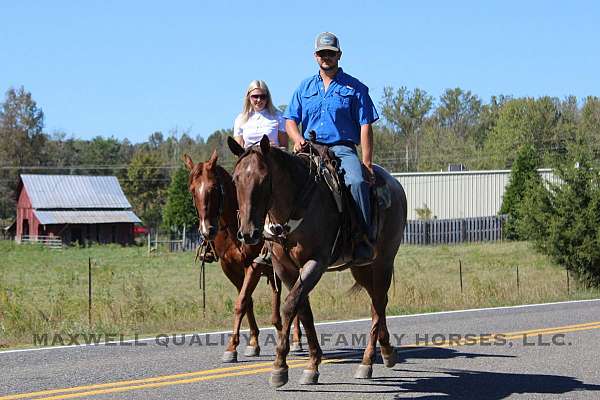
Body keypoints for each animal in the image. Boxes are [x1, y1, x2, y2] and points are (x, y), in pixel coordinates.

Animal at [185, 151, 302, 362]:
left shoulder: (253, 266)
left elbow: (241, 302)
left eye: (213, 188)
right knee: (278, 292)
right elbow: (247, 302)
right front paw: (252, 343)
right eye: (192, 190)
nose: (207, 230)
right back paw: (278, 325)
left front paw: (231, 347)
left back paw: (296, 339)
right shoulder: (230, 268)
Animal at [229, 137, 408, 388]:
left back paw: (367, 362)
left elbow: (289, 306)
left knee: (378, 303)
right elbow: (303, 310)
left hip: (383, 261)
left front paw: (279, 366)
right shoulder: (284, 268)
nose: (247, 233)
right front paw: (312, 364)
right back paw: (387, 351)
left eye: (263, 179)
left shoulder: (316, 262)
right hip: (361, 268)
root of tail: (395, 185)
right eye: (235, 179)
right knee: (377, 302)